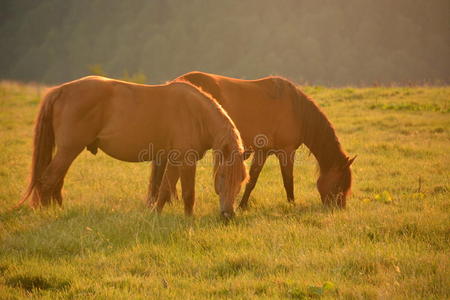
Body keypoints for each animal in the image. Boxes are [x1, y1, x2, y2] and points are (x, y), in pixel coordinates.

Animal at [19, 74, 248, 216]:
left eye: (242, 180)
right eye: (222, 176)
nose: (228, 214)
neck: (195, 114)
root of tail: (61, 90)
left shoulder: (174, 159)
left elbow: (164, 189)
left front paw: (156, 214)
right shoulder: (186, 162)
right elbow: (188, 193)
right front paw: (188, 219)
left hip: (68, 151)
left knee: (56, 181)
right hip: (69, 150)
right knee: (48, 180)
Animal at [153, 71, 356, 210]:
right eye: (340, 184)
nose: (339, 208)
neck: (296, 110)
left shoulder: (263, 152)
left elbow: (253, 179)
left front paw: (242, 204)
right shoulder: (285, 151)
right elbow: (287, 180)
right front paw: (291, 204)